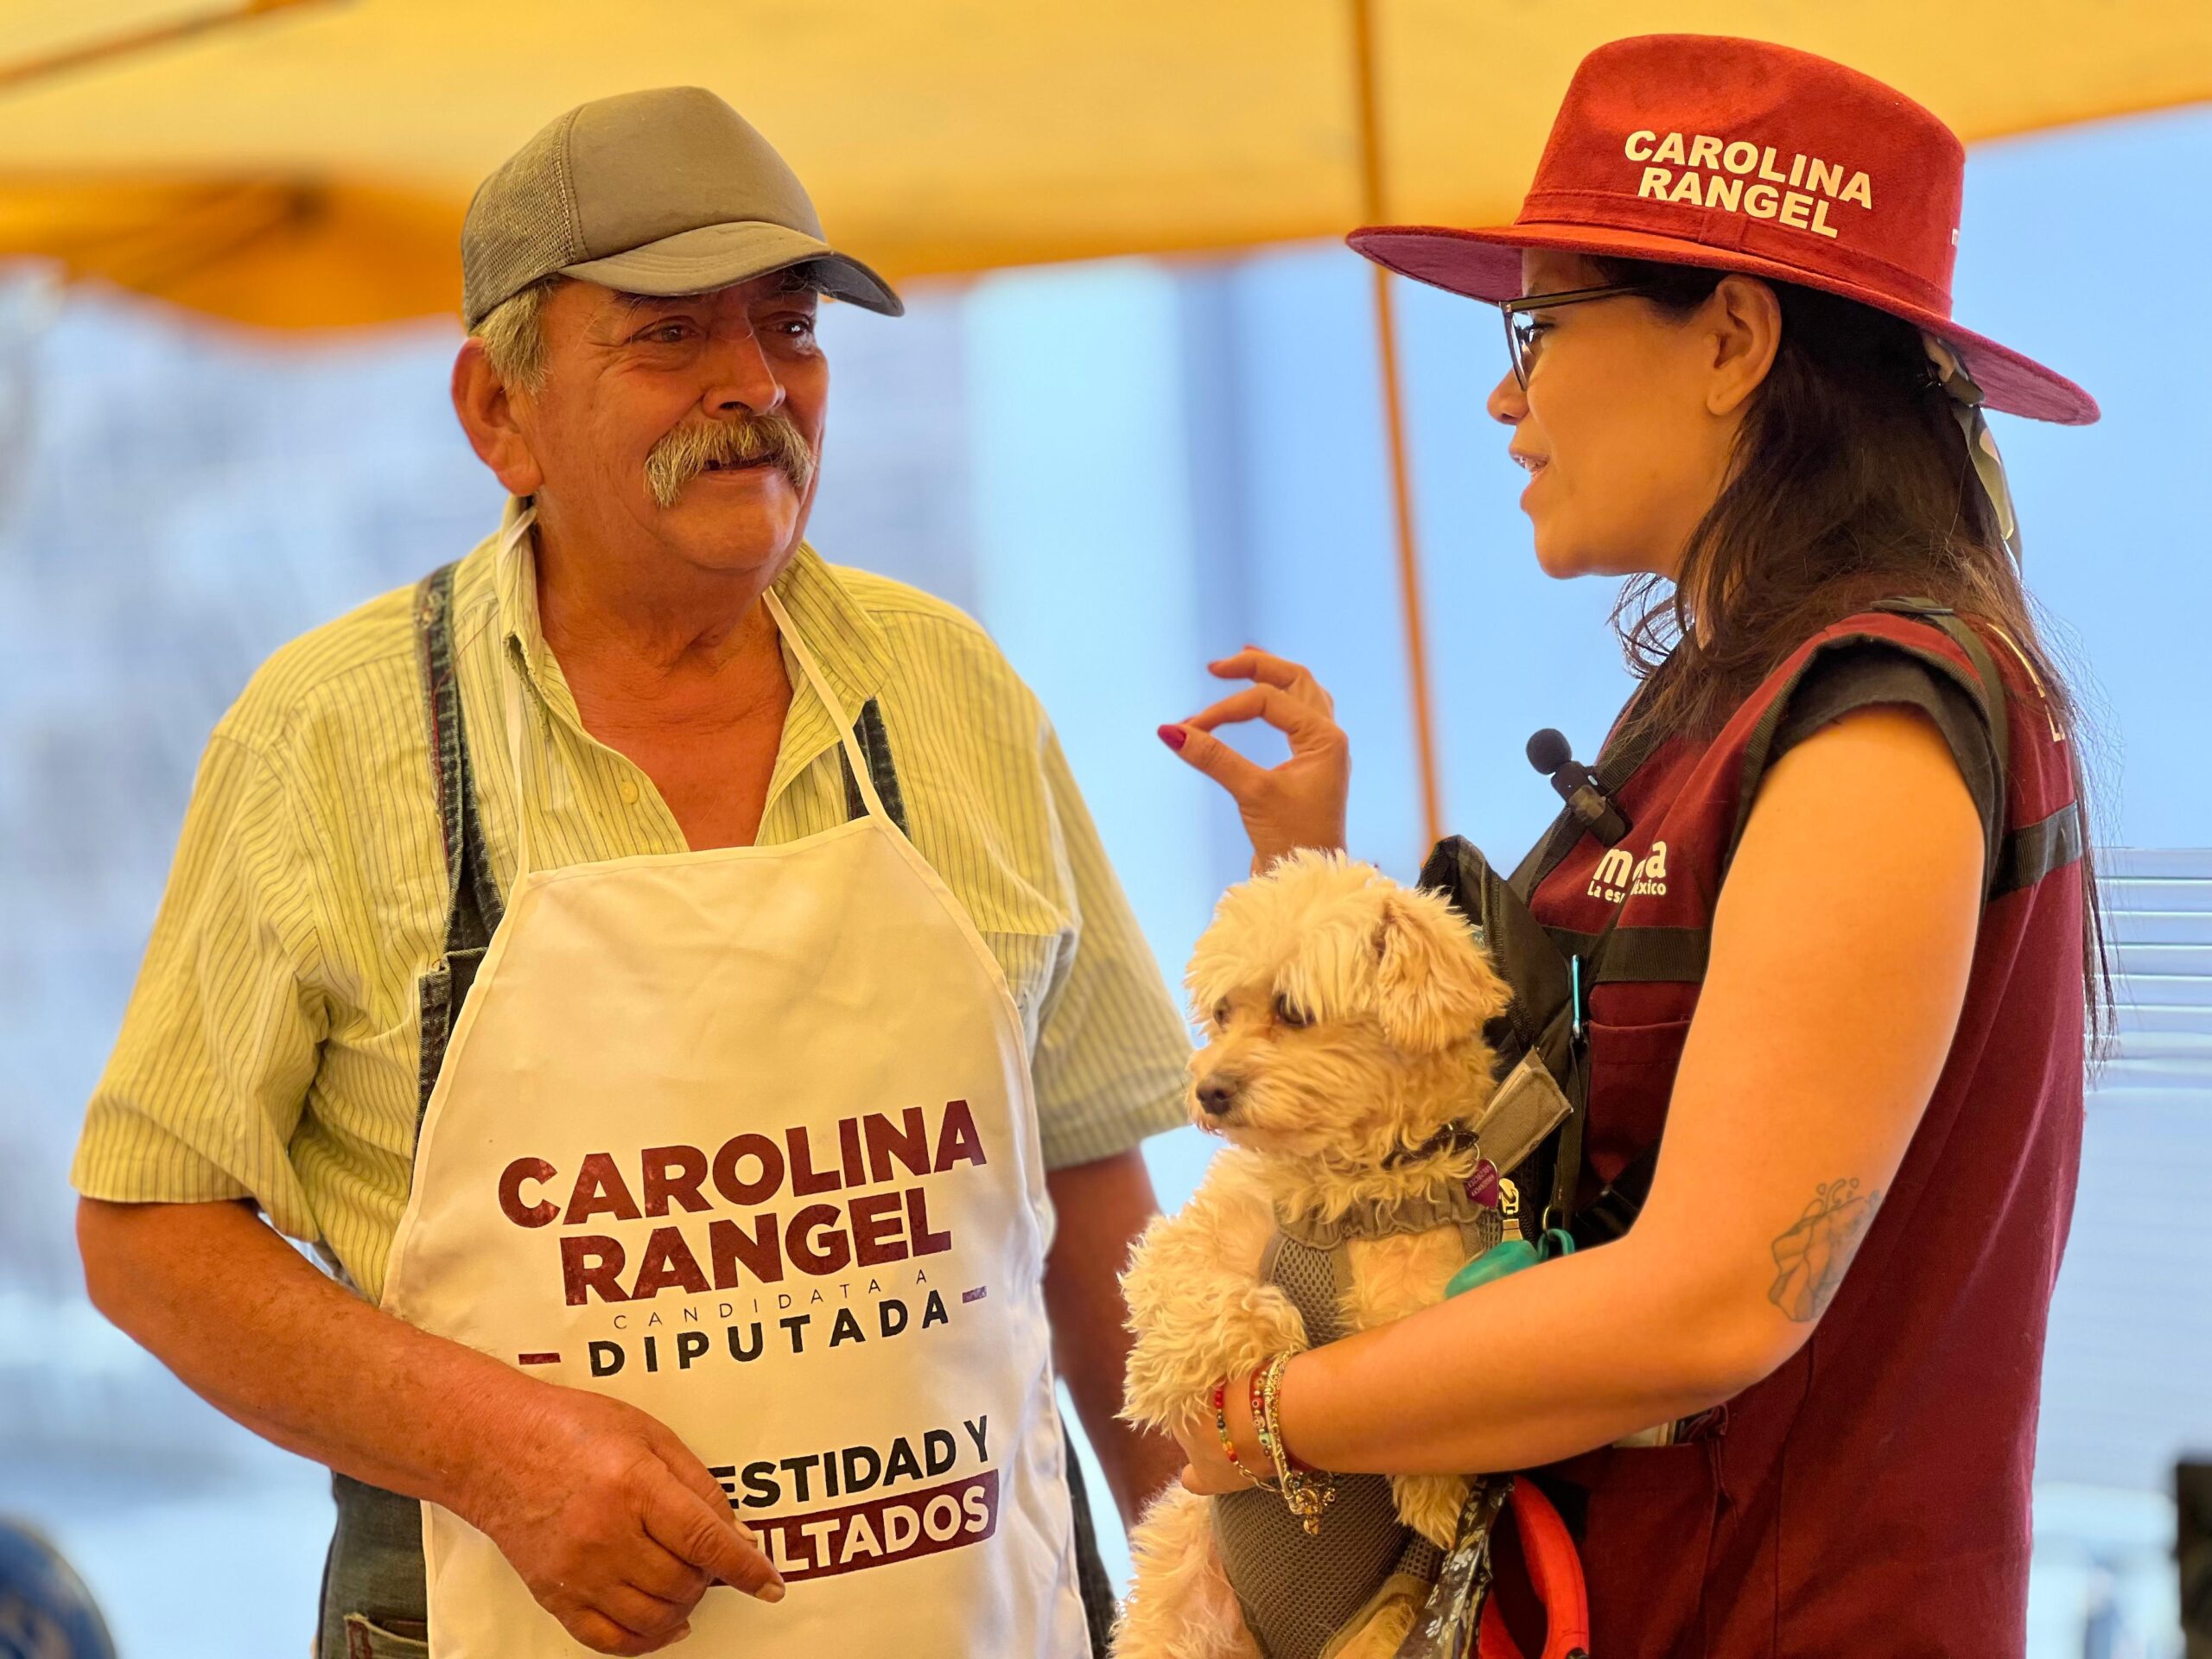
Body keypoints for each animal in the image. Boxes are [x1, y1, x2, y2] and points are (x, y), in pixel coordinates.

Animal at [1115, 858, 1513, 1659]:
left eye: (1292, 1011)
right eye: (1223, 1013)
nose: (1208, 1088)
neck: (1353, 1194)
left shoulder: (1439, 1281)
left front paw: (1436, 1493)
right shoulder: (1192, 1243)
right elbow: (1201, 1294)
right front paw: (1268, 1342)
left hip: (1379, 1630)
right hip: (1180, 1594)